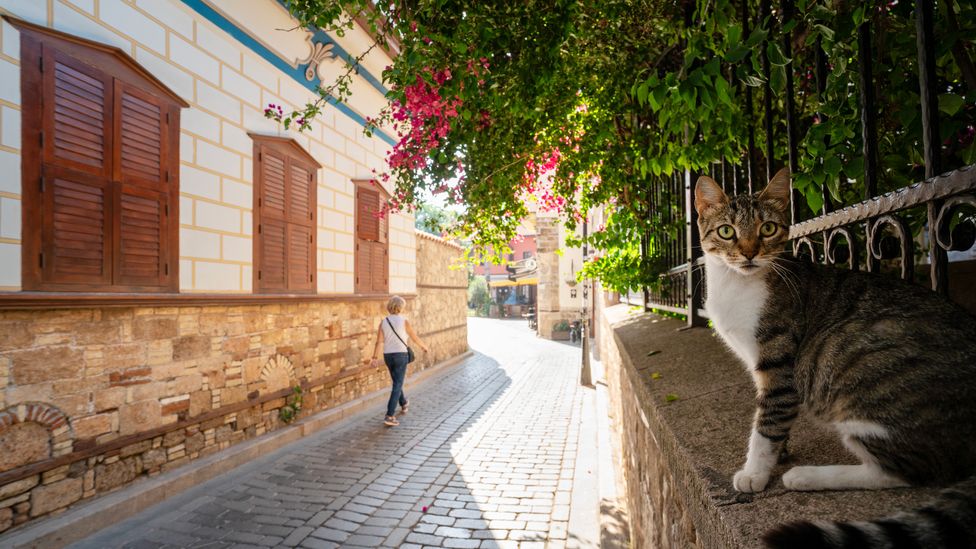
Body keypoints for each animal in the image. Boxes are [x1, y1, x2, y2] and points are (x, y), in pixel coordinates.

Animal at [696, 169, 976, 544]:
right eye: (727, 231)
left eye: (767, 228)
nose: (750, 253)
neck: (737, 284)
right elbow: (773, 417)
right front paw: (778, 453)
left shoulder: (779, 363)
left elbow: (768, 420)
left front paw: (755, 472)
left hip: (844, 354)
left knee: (910, 469)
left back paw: (806, 477)